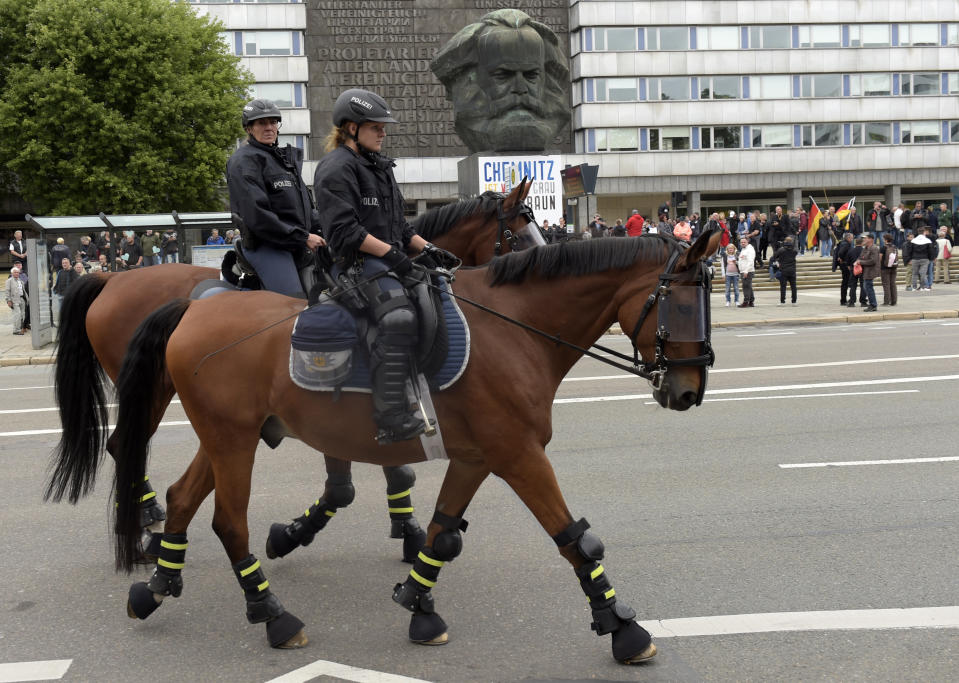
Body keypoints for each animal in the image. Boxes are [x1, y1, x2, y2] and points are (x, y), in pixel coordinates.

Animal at [45, 182, 540, 560]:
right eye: (517, 235)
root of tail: (111, 277)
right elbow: (378, 472)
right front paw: (407, 531)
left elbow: (387, 471)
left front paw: (406, 528)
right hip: (150, 392)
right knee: (120, 443)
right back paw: (145, 524)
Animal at [47, 230, 720, 664]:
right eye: (684, 304)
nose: (689, 391)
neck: (511, 328)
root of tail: (190, 308)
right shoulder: (519, 455)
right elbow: (574, 538)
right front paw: (620, 626)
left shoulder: (478, 457)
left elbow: (444, 532)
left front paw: (418, 603)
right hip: (231, 440)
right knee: (224, 519)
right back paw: (271, 614)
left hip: (224, 436)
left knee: (184, 498)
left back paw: (156, 586)